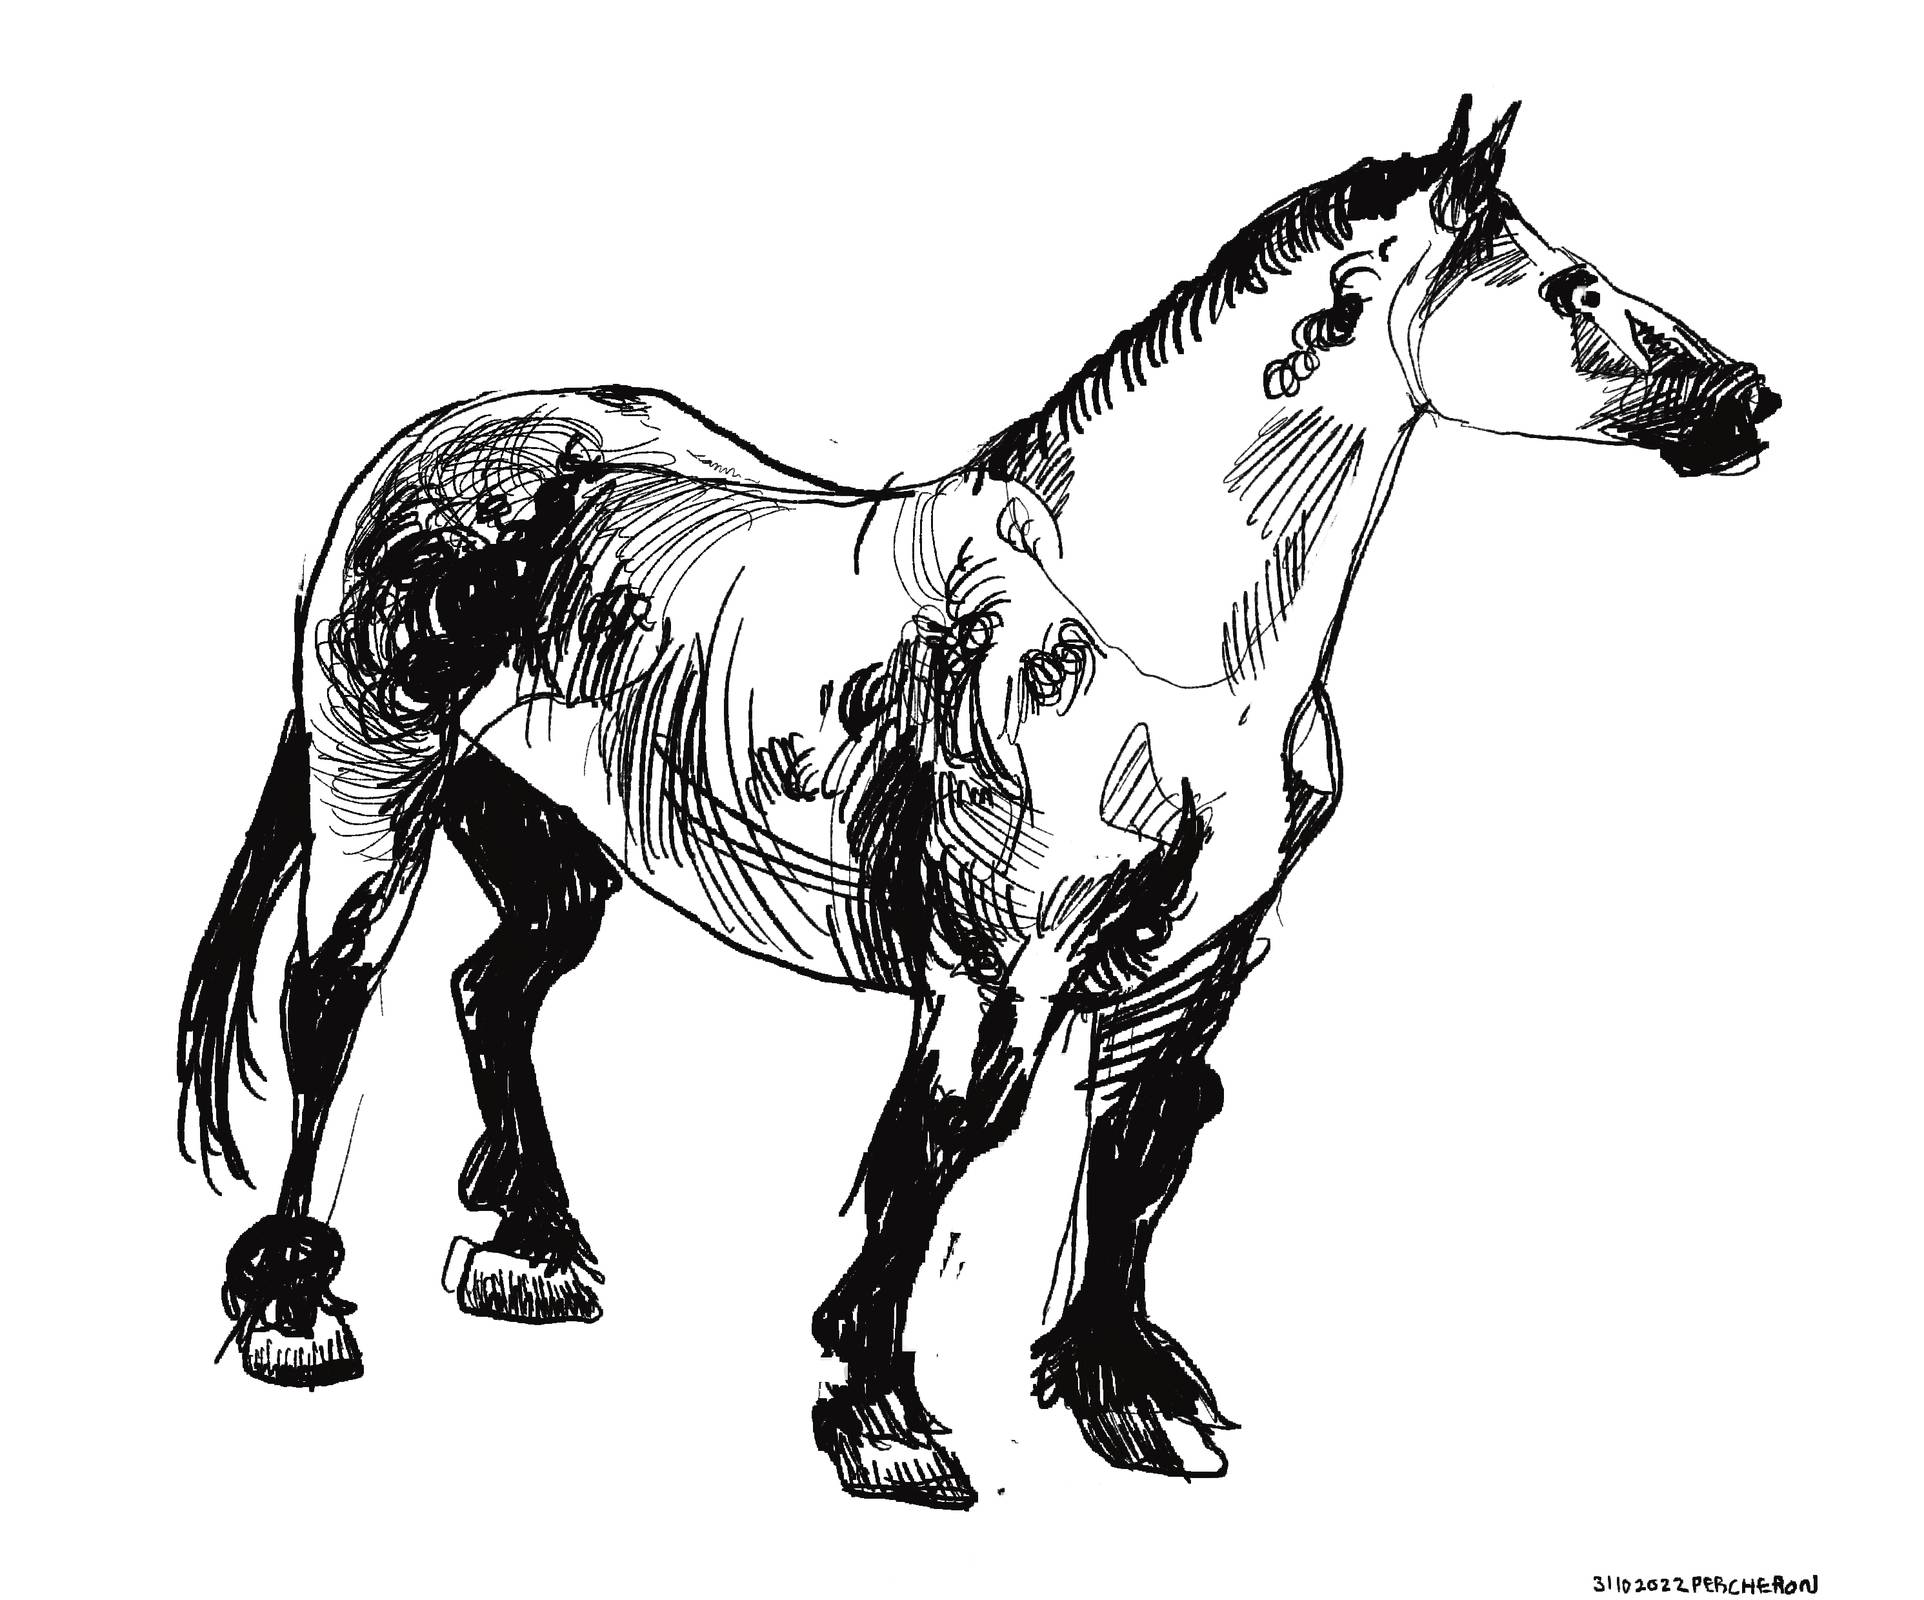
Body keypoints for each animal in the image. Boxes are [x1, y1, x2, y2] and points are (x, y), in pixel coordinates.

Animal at [177, 95, 1779, 1509]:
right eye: (1569, 288)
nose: (1749, 400)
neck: (1162, 648)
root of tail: (431, 451)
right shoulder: (998, 965)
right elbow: (938, 1146)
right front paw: (883, 1419)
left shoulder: (1196, 962)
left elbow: (1143, 1147)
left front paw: (1129, 1396)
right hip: (377, 789)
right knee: (333, 1002)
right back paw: (295, 1312)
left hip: (550, 840)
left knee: (493, 988)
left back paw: (535, 1251)